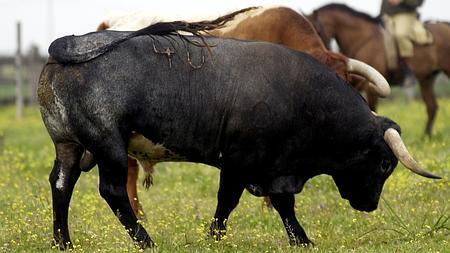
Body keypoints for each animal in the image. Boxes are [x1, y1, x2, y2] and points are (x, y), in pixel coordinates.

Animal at [37, 24, 436, 249]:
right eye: (384, 164)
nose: (369, 205)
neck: (302, 97)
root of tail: (69, 45)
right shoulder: (240, 161)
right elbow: (228, 201)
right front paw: (214, 237)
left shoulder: (273, 168)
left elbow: (283, 204)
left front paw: (301, 239)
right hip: (110, 147)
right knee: (112, 192)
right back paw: (145, 242)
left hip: (70, 145)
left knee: (61, 184)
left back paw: (63, 242)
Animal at [308, 2, 450, 135]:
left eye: (317, 30)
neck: (363, 39)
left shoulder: (369, 87)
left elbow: (372, 110)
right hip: (427, 79)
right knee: (432, 107)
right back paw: (426, 137)